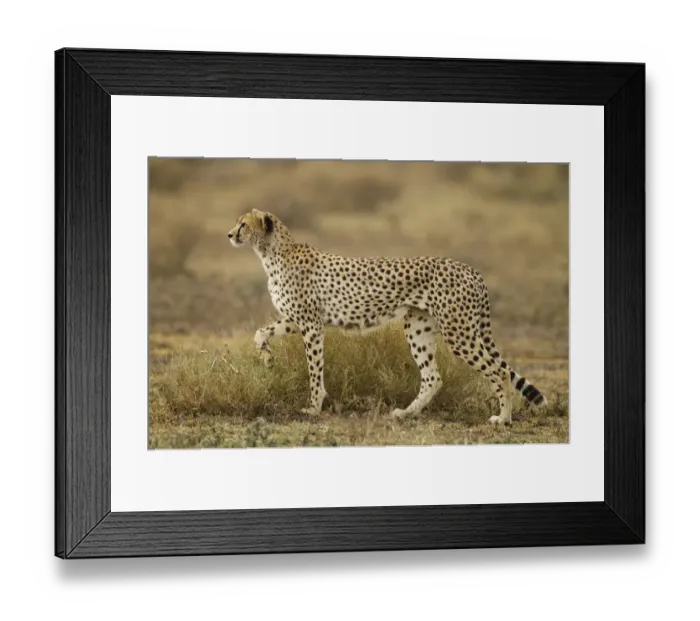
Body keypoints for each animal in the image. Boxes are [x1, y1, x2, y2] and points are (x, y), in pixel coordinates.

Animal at [228, 209, 548, 425]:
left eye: (244, 224)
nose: (230, 234)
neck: (270, 253)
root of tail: (469, 268)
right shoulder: (298, 319)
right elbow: (260, 332)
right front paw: (267, 358)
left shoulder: (311, 324)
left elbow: (314, 369)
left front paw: (314, 407)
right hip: (418, 328)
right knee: (433, 377)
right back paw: (405, 413)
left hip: (459, 332)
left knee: (499, 371)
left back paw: (503, 418)